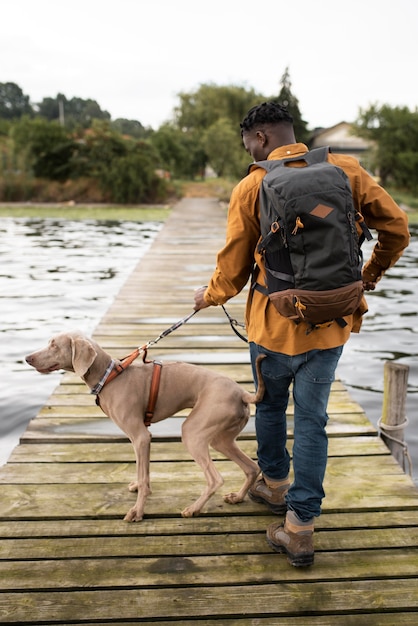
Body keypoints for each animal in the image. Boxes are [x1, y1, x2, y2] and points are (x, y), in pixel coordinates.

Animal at [26, 332, 266, 520]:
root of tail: (242, 392)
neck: (109, 377)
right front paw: (142, 491)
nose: (27, 358)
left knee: (215, 479)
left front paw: (137, 512)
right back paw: (237, 497)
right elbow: (144, 473)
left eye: (54, 345)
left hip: (193, 432)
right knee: (251, 468)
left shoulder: (140, 436)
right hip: (221, 438)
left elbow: (142, 477)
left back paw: (193, 509)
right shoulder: (142, 439)